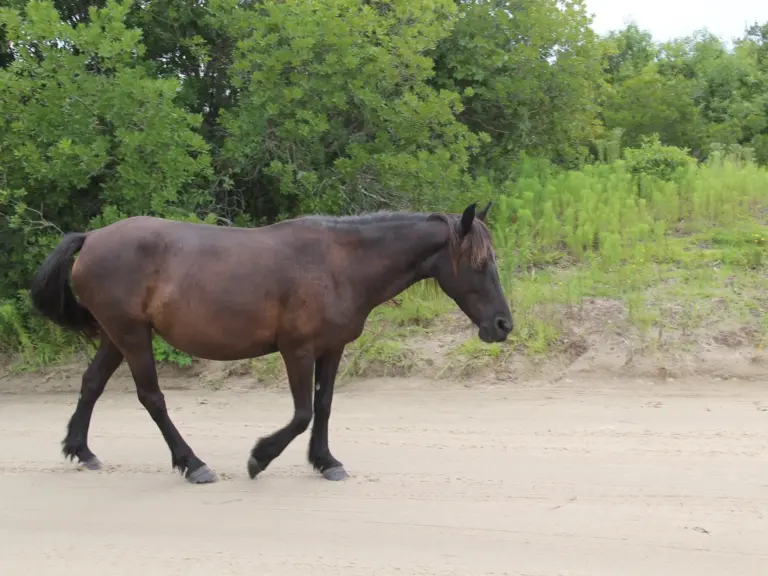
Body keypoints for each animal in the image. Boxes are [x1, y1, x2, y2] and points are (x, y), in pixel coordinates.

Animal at [29, 202, 513, 484]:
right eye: (479, 263)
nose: (503, 324)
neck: (341, 263)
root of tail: (91, 238)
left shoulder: (331, 349)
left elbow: (324, 406)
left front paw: (326, 461)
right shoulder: (296, 350)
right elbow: (301, 413)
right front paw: (259, 458)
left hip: (118, 335)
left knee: (92, 383)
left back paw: (81, 450)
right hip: (131, 334)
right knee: (152, 397)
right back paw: (193, 464)